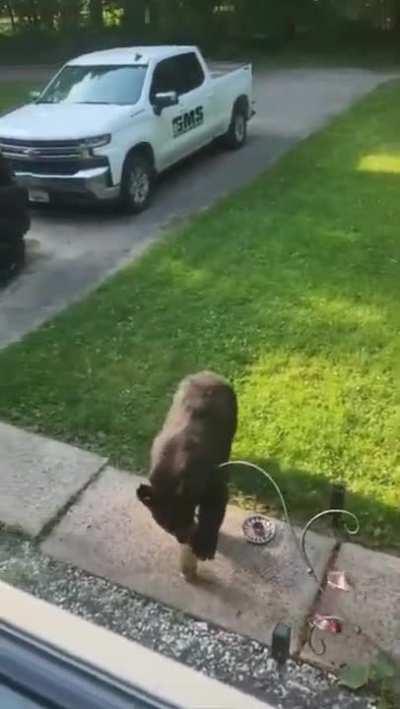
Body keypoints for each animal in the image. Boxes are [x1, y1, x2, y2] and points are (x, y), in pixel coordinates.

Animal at [137, 371, 237, 562]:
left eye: (184, 519)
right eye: (166, 527)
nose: (183, 539)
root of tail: (209, 374)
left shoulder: (212, 482)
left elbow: (213, 511)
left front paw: (204, 547)